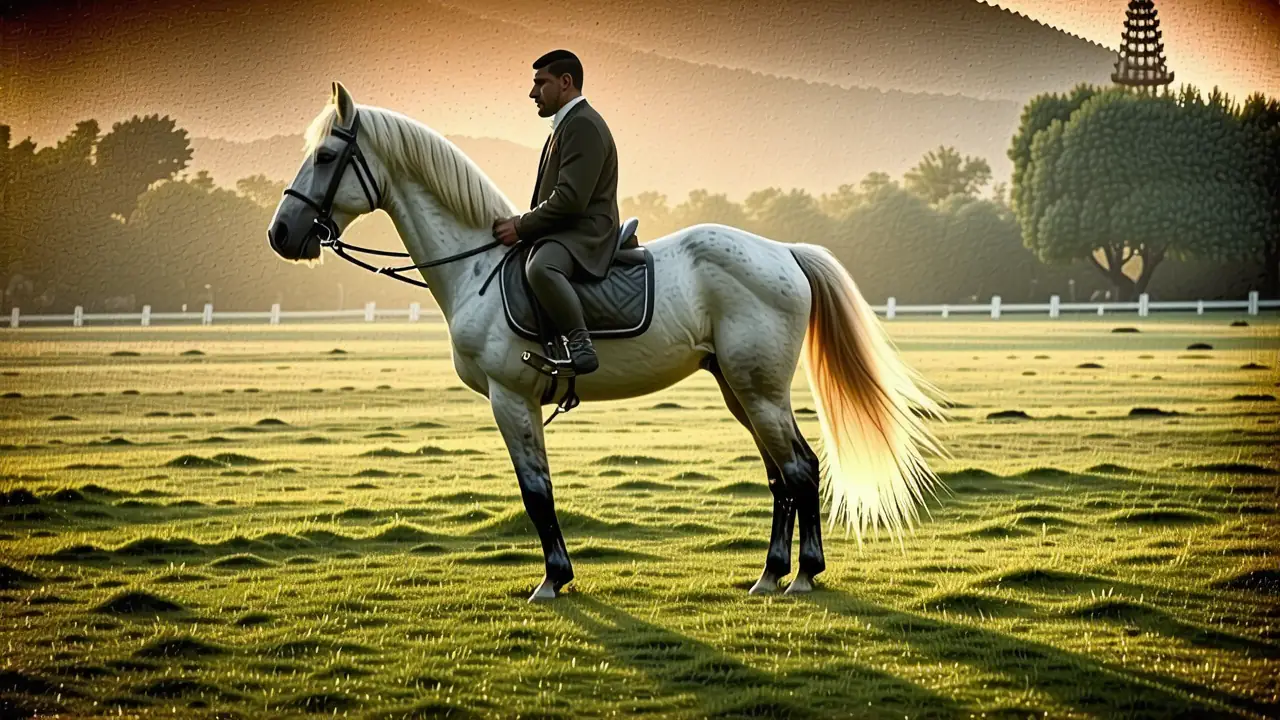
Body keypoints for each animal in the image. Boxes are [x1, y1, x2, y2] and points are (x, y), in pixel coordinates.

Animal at [267, 82, 953, 602]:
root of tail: (782, 251)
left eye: (325, 156)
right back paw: (772, 575)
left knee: (798, 470)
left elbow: (536, 492)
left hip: (758, 390)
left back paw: (801, 577)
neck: (475, 265)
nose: (281, 235)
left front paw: (552, 581)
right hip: (738, 388)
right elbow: (538, 491)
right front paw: (556, 576)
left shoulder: (510, 399)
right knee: (785, 474)